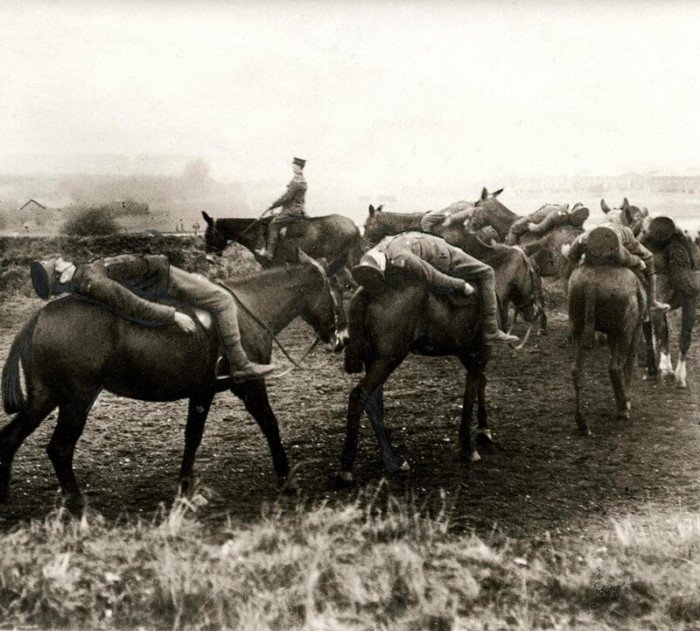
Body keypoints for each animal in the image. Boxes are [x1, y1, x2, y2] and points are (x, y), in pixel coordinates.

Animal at [0, 254, 340, 516]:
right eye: (334, 291)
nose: (339, 338)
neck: (248, 309)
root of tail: (39, 317)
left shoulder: (202, 391)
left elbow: (192, 437)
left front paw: (186, 490)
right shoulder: (250, 385)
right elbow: (270, 424)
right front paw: (288, 480)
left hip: (45, 397)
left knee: (11, 438)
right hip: (76, 400)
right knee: (59, 448)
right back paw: (80, 506)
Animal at [336, 278, 490, 484]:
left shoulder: (468, 352)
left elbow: (480, 381)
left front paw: (483, 430)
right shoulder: (478, 350)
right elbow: (472, 389)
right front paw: (469, 446)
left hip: (375, 360)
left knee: (372, 401)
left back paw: (392, 460)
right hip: (388, 359)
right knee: (359, 396)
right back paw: (347, 467)